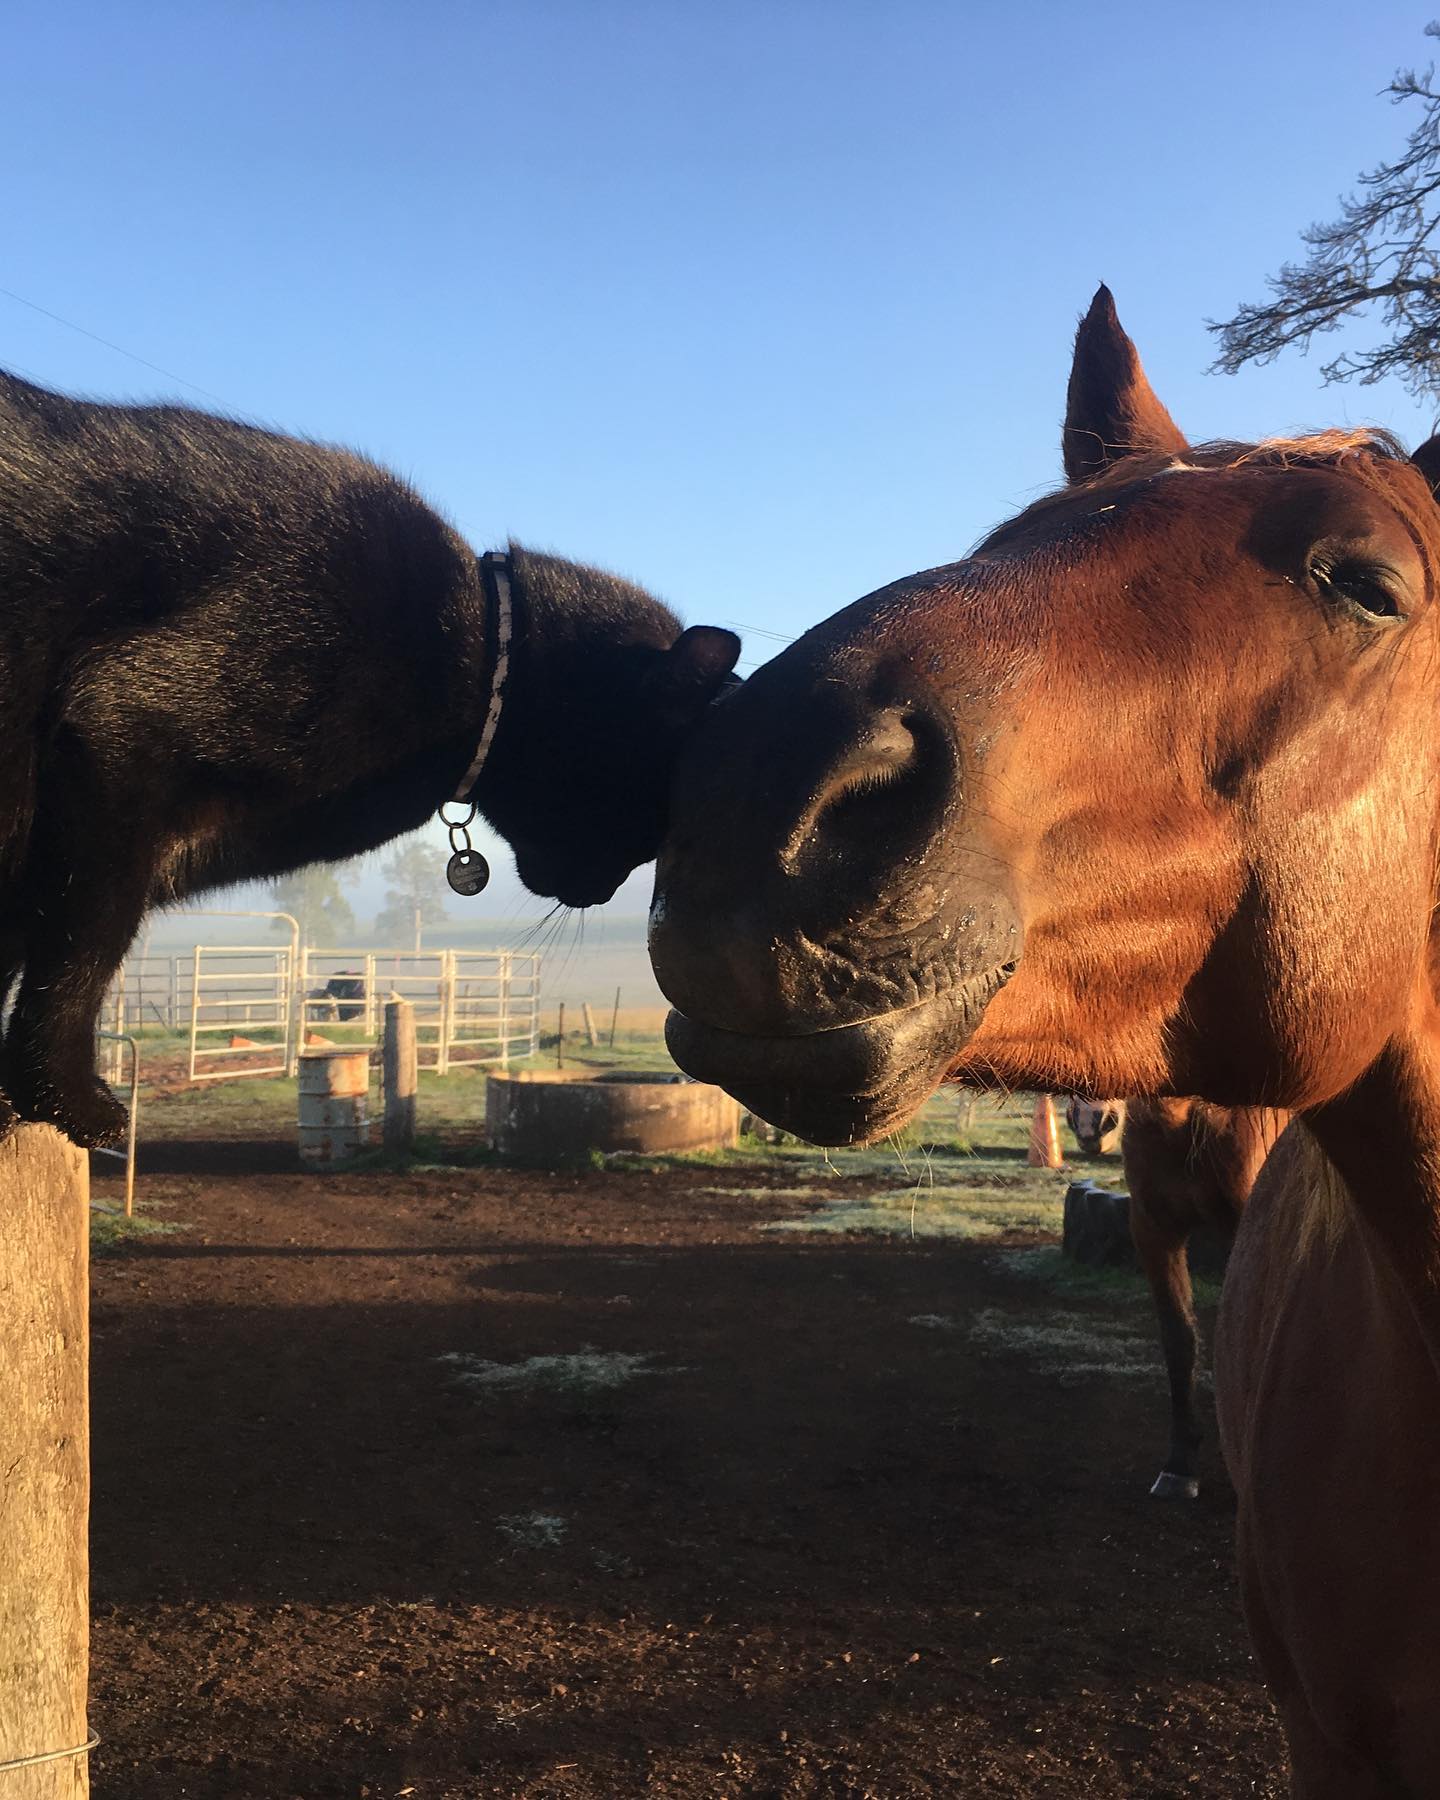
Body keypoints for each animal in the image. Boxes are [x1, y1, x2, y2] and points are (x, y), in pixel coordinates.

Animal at [0, 367, 739, 1146]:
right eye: (647, 824)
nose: (602, 892)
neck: (477, 648)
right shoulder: (121, 732)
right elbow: (82, 950)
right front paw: (65, 1100)